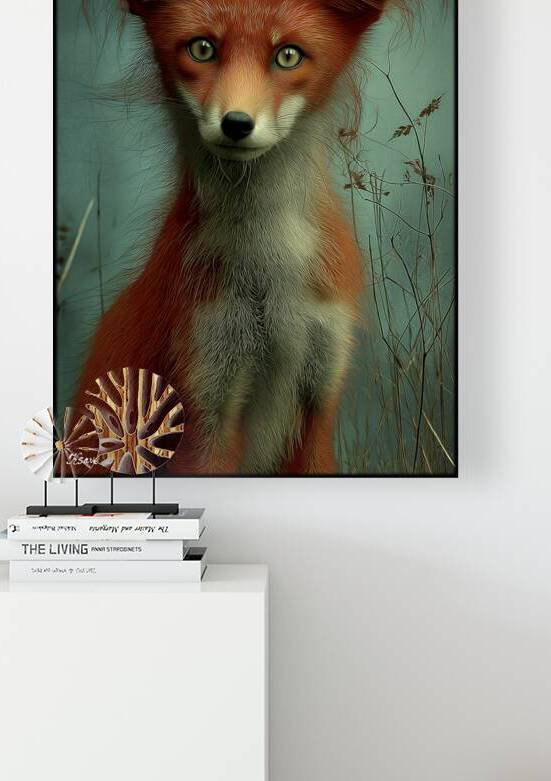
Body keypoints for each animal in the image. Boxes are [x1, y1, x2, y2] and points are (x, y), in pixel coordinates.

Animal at [75, 0, 405, 475]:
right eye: (202, 48)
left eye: (288, 55)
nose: (235, 124)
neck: (270, 269)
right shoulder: (207, 402)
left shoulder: (319, 396)